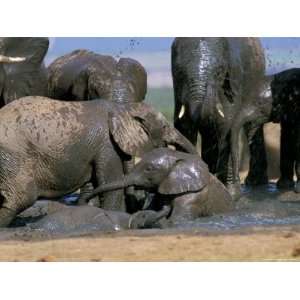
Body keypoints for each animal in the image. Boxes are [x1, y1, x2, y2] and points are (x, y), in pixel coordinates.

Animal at [0, 95, 195, 225]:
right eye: (164, 127)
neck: (123, 109)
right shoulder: (107, 145)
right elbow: (110, 184)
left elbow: (94, 185)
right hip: (14, 156)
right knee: (22, 198)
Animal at [171, 37, 272, 199]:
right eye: (180, 72)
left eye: (219, 72)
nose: (211, 84)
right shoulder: (179, 89)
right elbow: (183, 127)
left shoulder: (233, 82)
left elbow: (227, 126)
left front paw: (231, 194)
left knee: (250, 126)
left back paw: (254, 183)